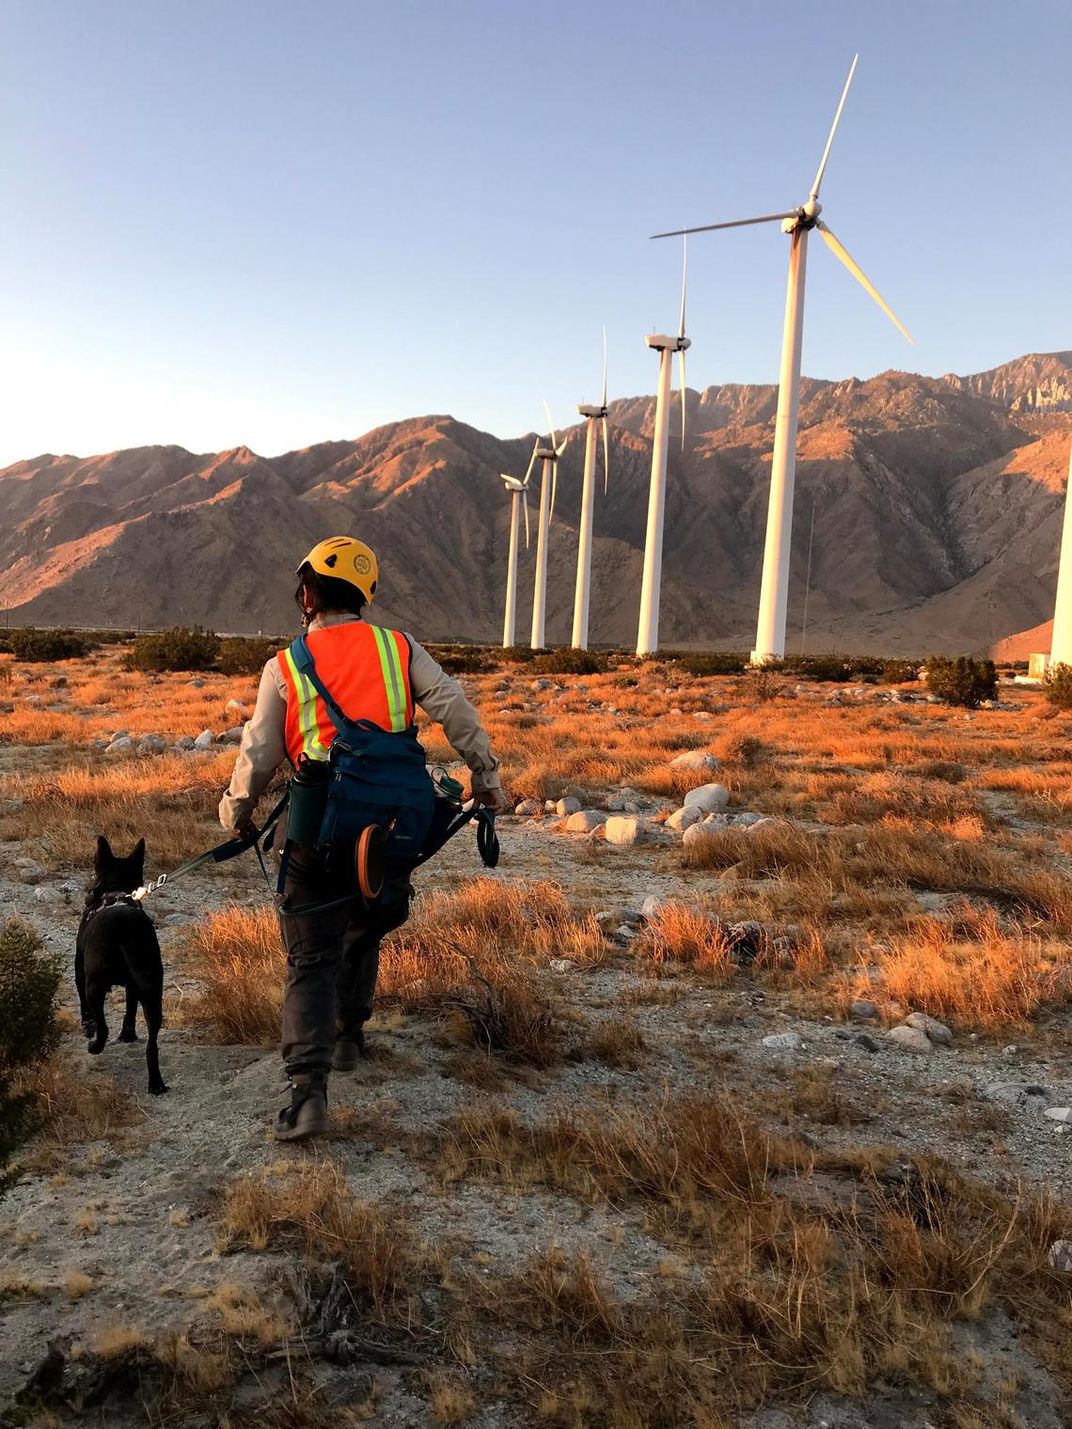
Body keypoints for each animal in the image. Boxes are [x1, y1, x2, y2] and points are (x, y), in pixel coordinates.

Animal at [76, 834, 168, 1091]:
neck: (115, 891)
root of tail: (125, 929)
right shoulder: (133, 985)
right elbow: (130, 1007)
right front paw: (128, 1034)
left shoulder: (80, 973)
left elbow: (86, 1010)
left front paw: (87, 1026)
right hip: (152, 990)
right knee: (152, 1045)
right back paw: (156, 1084)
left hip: (95, 986)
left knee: (103, 1026)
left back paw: (95, 1046)